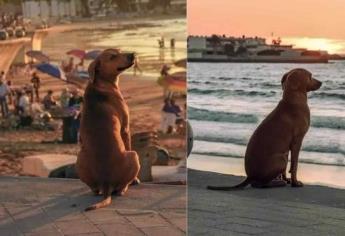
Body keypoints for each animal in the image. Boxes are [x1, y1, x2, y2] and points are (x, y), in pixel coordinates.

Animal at [76, 48, 139, 210]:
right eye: (112, 56)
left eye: (120, 51)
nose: (133, 54)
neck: (101, 83)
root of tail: (106, 183)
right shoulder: (125, 129)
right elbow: (127, 140)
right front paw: (136, 180)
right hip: (134, 155)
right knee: (121, 188)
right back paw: (126, 186)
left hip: (79, 158)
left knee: (94, 189)